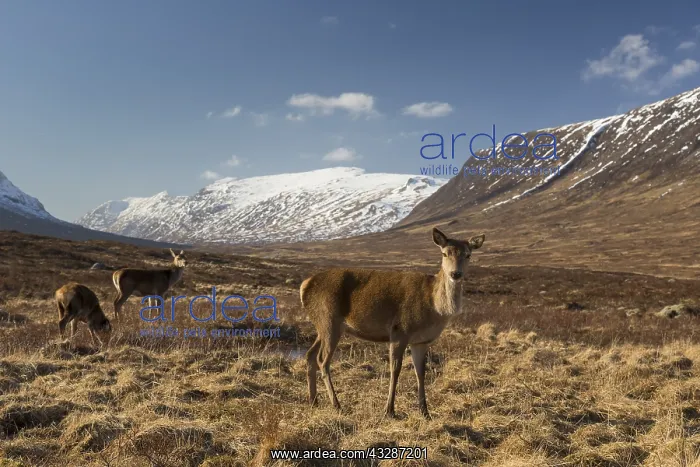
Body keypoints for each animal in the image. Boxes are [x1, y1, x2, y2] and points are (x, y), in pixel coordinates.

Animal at [300, 227, 485, 419]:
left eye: (468, 254)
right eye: (444, 253)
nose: (455, 274)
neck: (435, 308)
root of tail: (304, 285)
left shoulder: (421, 341)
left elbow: (421, 372)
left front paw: (425, 411)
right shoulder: (399, 331)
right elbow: (395, 369)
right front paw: (389, 410)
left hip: (323, 326)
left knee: (310, 355)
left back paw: (313, 400)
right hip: (329, 320)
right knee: (322, 360)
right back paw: (336, 405)